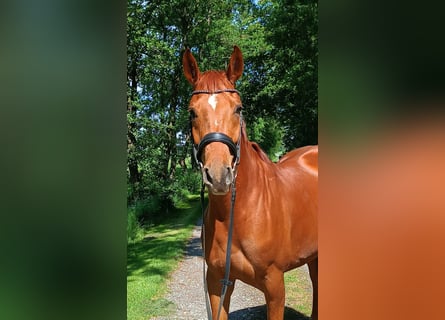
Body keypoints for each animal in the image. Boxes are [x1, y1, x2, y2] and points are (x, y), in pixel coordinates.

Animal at [182, 45, 318, 320]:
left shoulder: (275, 286)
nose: (218, 176)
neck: (237, 214)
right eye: (192, 112)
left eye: (239, 109)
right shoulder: (217, 283)